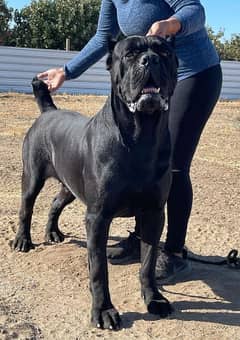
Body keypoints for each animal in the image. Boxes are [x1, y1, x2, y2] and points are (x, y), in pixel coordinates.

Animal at [12, 35, 177, 330]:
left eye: (165, 52)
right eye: (130, 54)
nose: (150, 60)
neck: (142, 137)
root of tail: (48, 111)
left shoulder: (154, 213)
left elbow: (148, 262)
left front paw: (154, 299)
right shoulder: (98, 216)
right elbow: (99, 269)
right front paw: (103, 310)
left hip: (70, 186)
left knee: (55, 203)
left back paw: (53, 233)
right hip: (32, 177)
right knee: (26, 208)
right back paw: (23, 240)